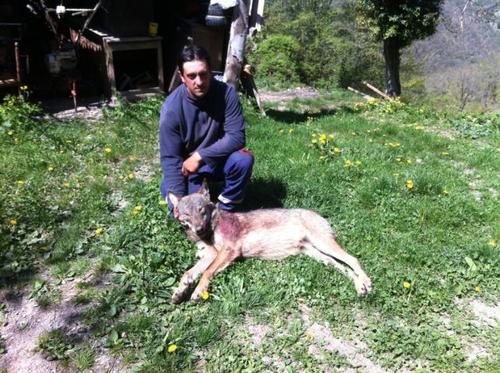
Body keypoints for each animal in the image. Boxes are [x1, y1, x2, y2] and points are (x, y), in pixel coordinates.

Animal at [168, 181, 372, 302]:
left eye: (201, 211)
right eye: (186, 215)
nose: (199, 229)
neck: (211, 229)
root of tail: (318, 214)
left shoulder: (229, 251)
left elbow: (206, 273)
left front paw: (197, 292)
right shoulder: (210, 255)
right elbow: (188, 273)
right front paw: (179, 292)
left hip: (324, 245)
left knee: (353, 259)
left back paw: (367, 283)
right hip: (321, 256)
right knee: (344, 267)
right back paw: (360, 286)